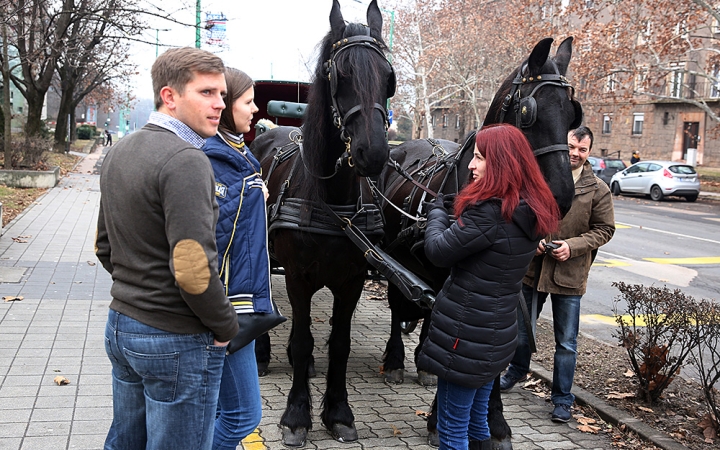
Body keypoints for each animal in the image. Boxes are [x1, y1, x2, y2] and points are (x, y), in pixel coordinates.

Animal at [248, 1, 394, 448]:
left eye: (389, 79)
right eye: (340, 75)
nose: (372, 153)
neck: (333, 203)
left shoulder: (352, 280)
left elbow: (339, 344)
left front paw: (338, 412)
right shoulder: (298, 276)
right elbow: (300, 340)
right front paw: (297, 416)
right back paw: (261, 352)